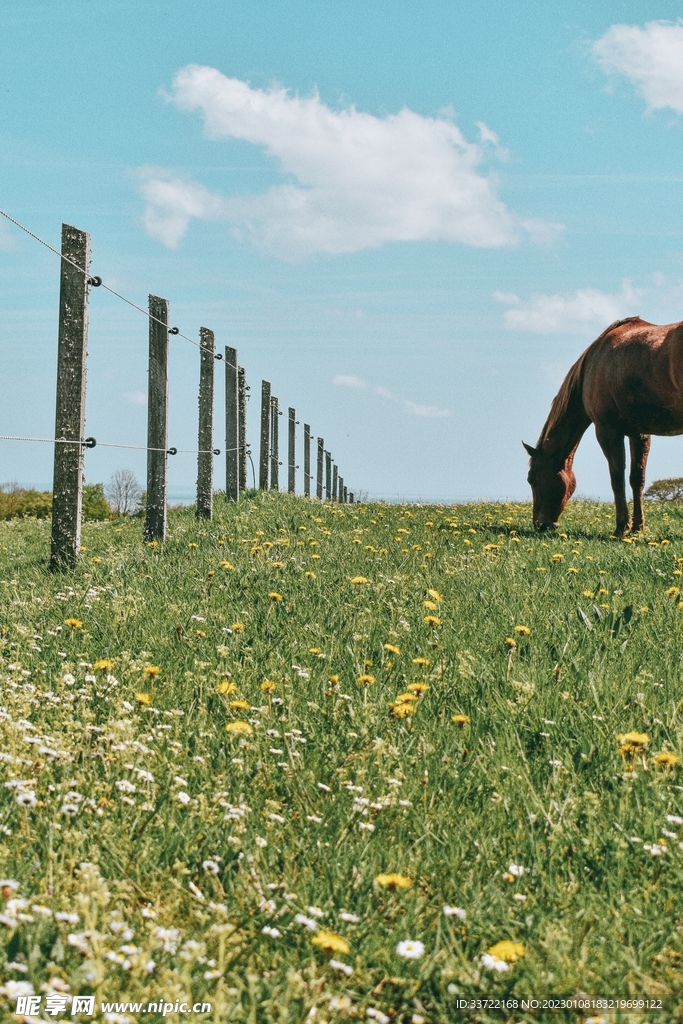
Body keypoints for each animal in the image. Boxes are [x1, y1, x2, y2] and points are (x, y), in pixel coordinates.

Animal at [523, 315, 683, 536]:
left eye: (532, 479)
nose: (539, 524)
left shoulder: (607, 431)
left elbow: (617, 478)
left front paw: (620, 528)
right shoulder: (639, 434)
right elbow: (636, 479)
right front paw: (637, 528)